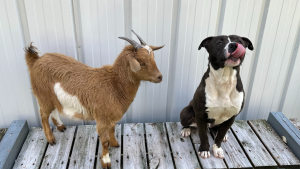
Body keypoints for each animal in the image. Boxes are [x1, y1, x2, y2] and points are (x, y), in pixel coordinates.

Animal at [24, 30, 164, 169]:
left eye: (153, 58)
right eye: (142, 62)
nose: (160, 77)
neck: (114, 84)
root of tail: (36, 60)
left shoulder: (111, 118)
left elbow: (112, 129)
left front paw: (115, 143)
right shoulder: (101, 119)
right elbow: (105, 141)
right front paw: (106, 161)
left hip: (52, 98)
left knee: (52, 110)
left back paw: (60, 126)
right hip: (43, 95)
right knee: (43, 115)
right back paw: (51, 139)